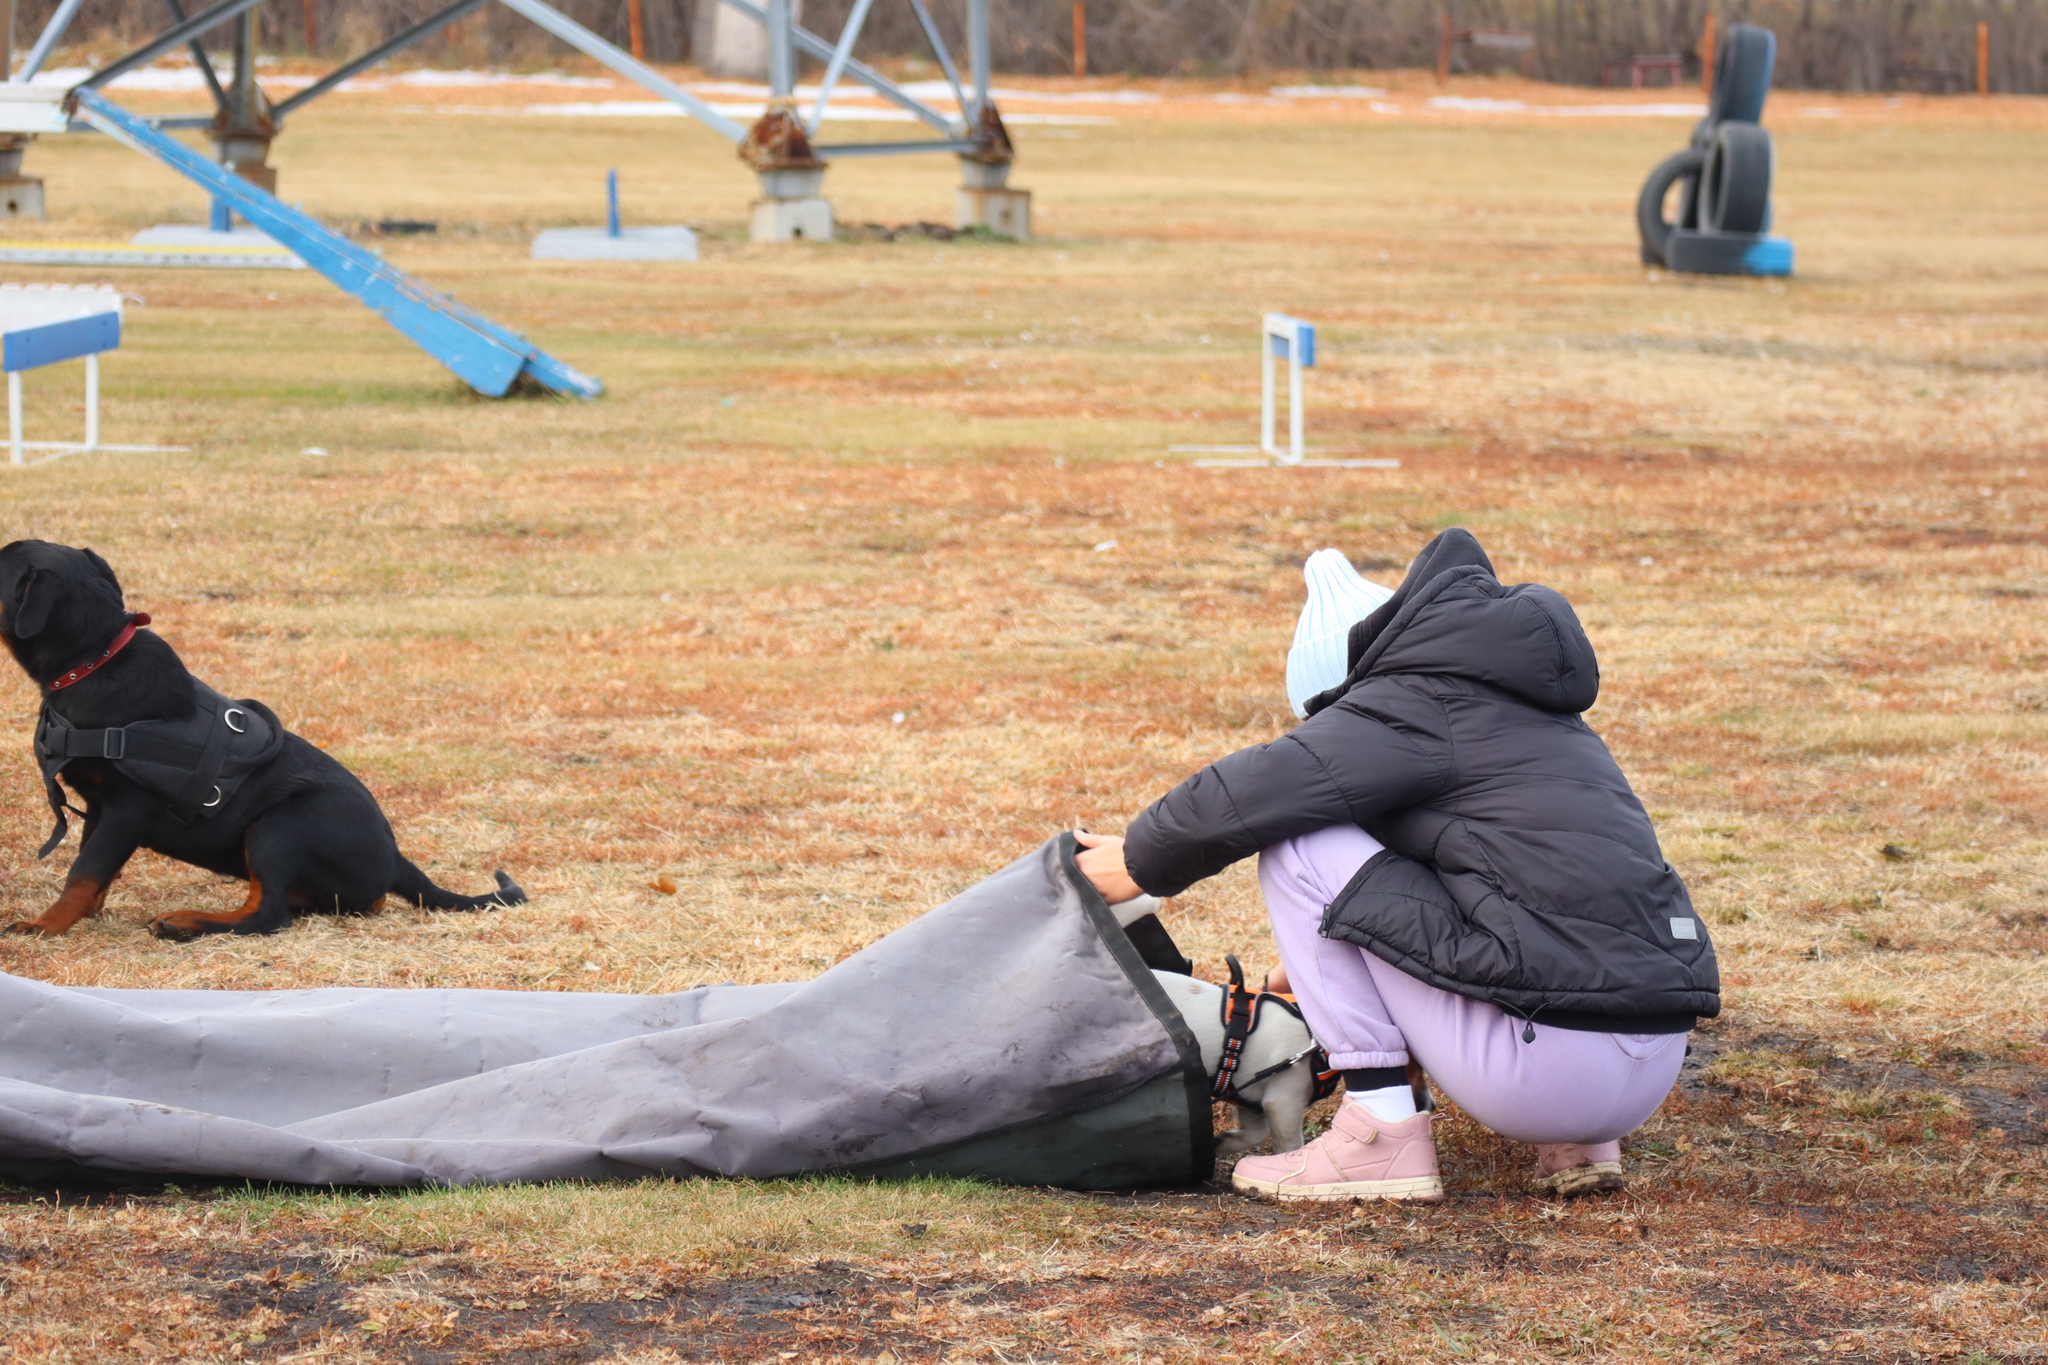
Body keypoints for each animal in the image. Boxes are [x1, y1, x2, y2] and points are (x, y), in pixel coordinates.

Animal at [0, 540, 524, 941]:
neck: (95, 660)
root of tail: (395, 861)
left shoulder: (128, 806)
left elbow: (83, 872)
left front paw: (43, 926)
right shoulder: (99, 807)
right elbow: (95, 871)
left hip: (279, 826)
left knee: (269, 913)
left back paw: (185, 922)